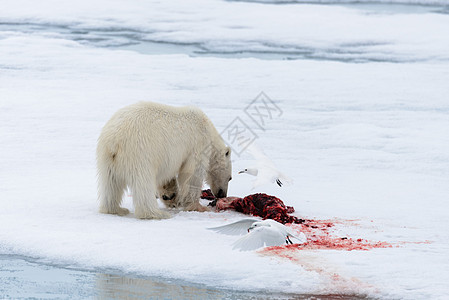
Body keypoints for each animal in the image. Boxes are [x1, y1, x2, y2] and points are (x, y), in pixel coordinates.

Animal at [96, 102, 233, 219]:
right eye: (230, 178)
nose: (222, 194)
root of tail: (114, 140)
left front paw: (171, 197)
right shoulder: (197, 146)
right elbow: (192, 175)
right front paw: (197, 206)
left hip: (107, 158)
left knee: (110, 183)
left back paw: (116, 209)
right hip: (140, 153)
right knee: (143, 183)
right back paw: (155, 213)